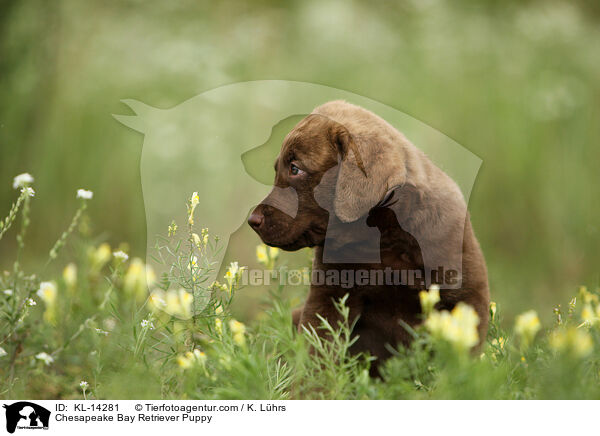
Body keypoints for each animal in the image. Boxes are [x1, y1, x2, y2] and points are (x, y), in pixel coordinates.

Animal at [247, 100, 488, 372]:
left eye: (295, 169)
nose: (253, 220)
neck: (383, 235)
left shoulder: (466, 297)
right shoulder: (328, 297)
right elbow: (318, 351)